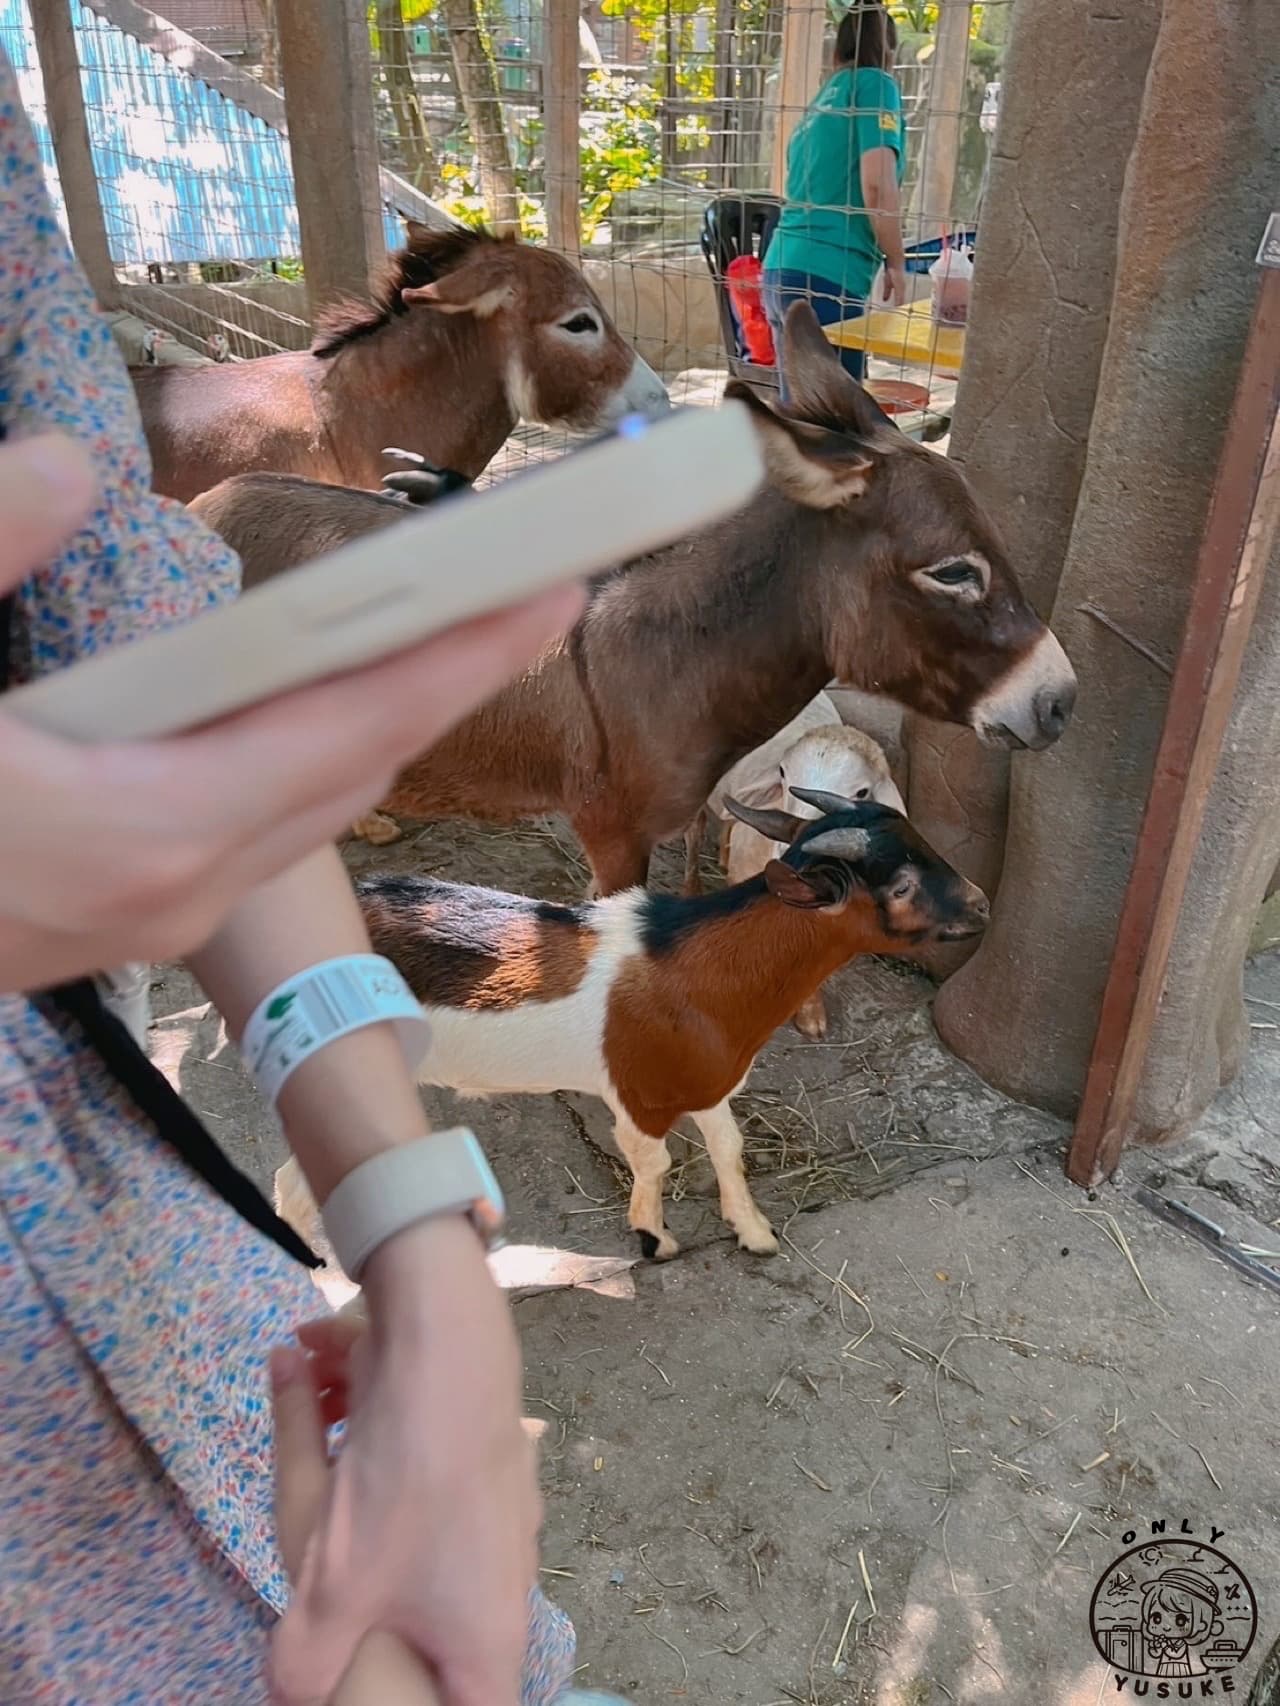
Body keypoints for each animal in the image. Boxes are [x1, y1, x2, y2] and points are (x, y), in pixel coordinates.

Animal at [276, 791, 989, 1262]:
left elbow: (729, 1149)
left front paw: (753, 1231)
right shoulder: (639, 1097)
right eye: (900, 886)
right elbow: (656, 1161)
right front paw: (655, 1238)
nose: (983, 904)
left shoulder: (710, 1082)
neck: (700, 973)